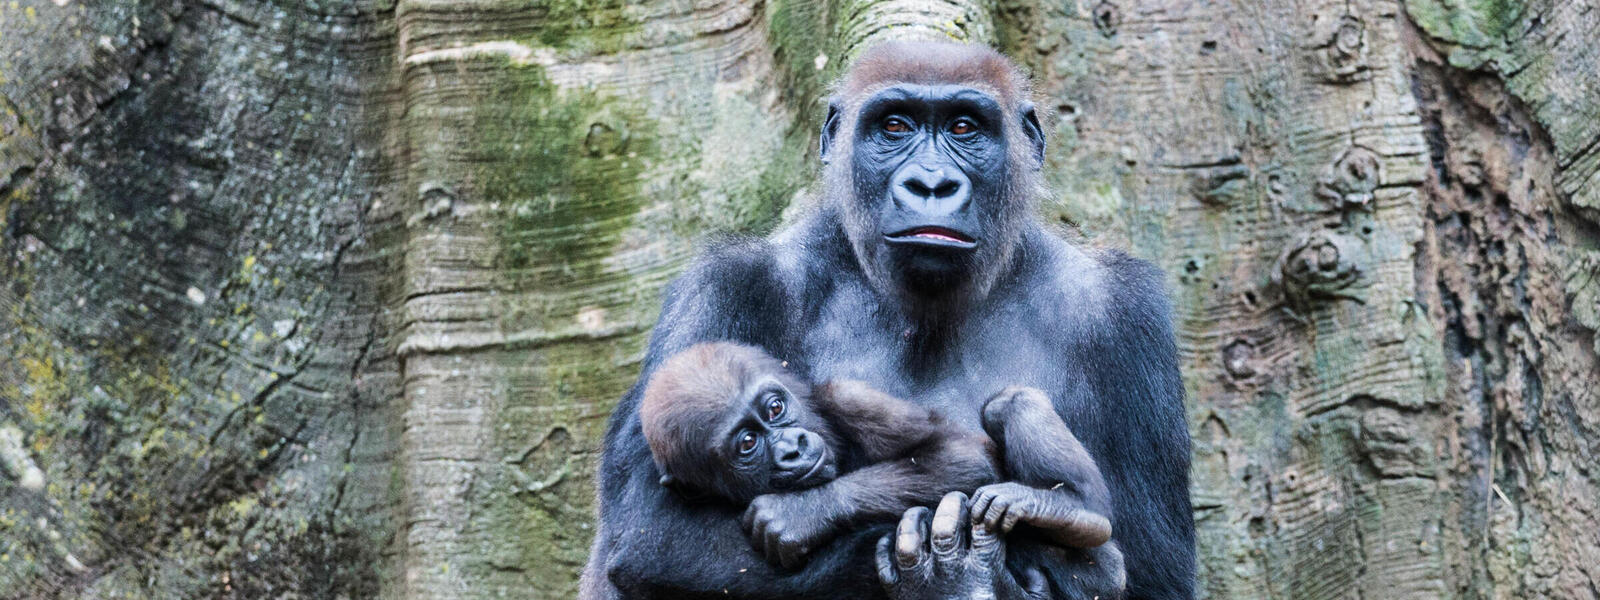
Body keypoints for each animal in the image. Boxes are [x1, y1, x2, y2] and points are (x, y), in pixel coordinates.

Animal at [636, 342, 1126, 582]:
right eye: (747, 444)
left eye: (775, 407)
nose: (792, 447)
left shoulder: (849, 397)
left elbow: (961, 456)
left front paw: (802, 512)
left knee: (1006, 405)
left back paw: (1073, 508)